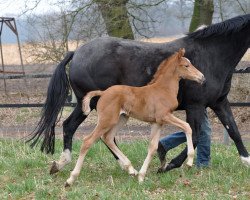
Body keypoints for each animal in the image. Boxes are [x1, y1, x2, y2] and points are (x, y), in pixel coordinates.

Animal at [65, 48, 204, 186]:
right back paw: (71, 179)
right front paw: (190, 161)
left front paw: (141, 176)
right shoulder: (164, 116)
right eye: (186, 65)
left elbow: (153, 147)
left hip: (121, 118)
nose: (202, 77)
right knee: (88, 141)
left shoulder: (157, 123)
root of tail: (103, 93)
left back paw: (131, 169)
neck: (163, 89)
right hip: (107, 120)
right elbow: (187, 127)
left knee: (108, 138)